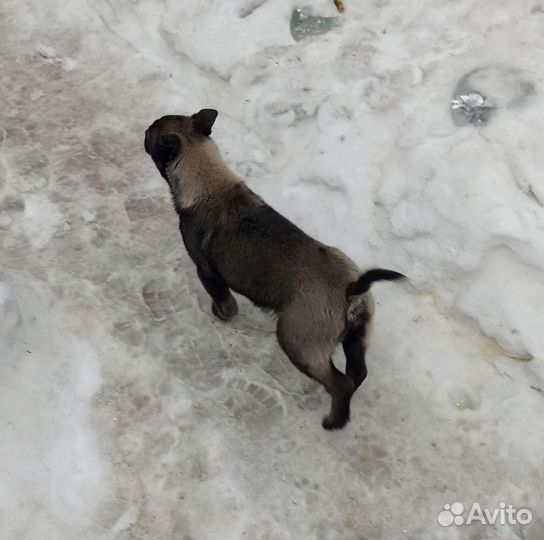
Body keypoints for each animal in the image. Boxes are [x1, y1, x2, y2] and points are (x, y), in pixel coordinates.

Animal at [144, 109, 404, 430]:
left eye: (152, 133)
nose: (144, 130)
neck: (207, 180)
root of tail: (352, 289)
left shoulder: (207, 271)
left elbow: (225, 302)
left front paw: (221, 316)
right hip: (357, 337)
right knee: (357, 374)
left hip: (297, 342)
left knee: (339, 383)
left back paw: (333, 422)